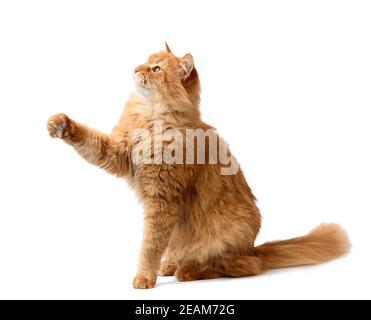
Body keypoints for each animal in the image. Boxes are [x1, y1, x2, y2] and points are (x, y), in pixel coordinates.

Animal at [47, 43, 352, 288]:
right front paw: (61, 124)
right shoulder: (116, 153)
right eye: (146, 61)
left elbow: (149, 246)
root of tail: (253, 248)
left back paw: (187, 270)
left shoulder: (162, 200)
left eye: (156, 68)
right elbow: (87, 139)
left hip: (224, 240)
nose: (135, 68)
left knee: (238, 267)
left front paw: (144, 278)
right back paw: (171, 264)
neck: (150, 118)